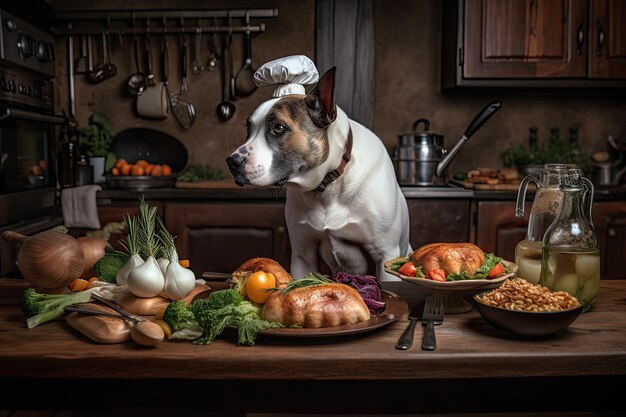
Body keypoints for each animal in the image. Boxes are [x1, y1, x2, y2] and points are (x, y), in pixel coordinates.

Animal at [224, 68, 410, 282]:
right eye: (248, 128)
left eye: (278, 128)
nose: (232, 162)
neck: (328, 183)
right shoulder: (303, 254)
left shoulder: (386, 254)